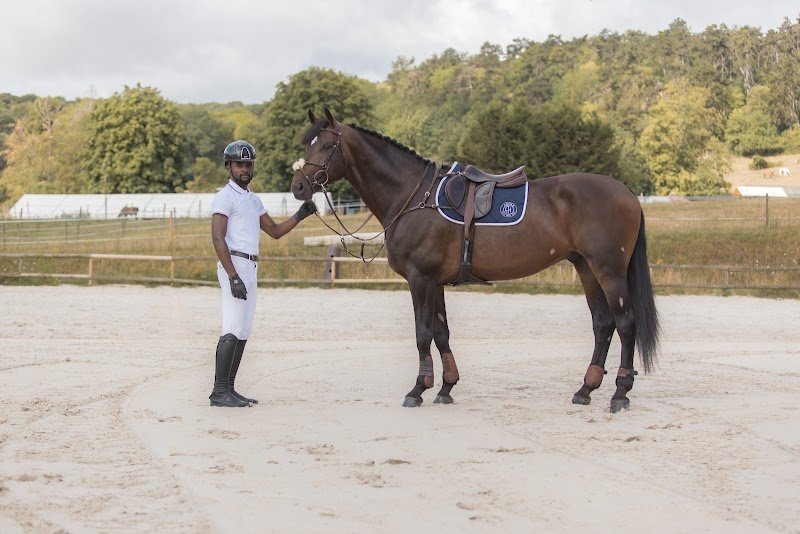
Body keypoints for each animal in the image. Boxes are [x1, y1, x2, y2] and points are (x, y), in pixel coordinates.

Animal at [291, 108, 660, 413]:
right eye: (307, 143)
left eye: (326, 145)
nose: (298, 187)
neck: (413, 196)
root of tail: (627, 193)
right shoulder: (435, 282)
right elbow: (441, 333)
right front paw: (445, 387)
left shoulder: (420, 279)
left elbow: (422, 333)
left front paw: (417, 390)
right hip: (585, 267)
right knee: (603, 324)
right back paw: (586, 389)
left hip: (608, 269)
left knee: (625, 323)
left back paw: (620, 393)